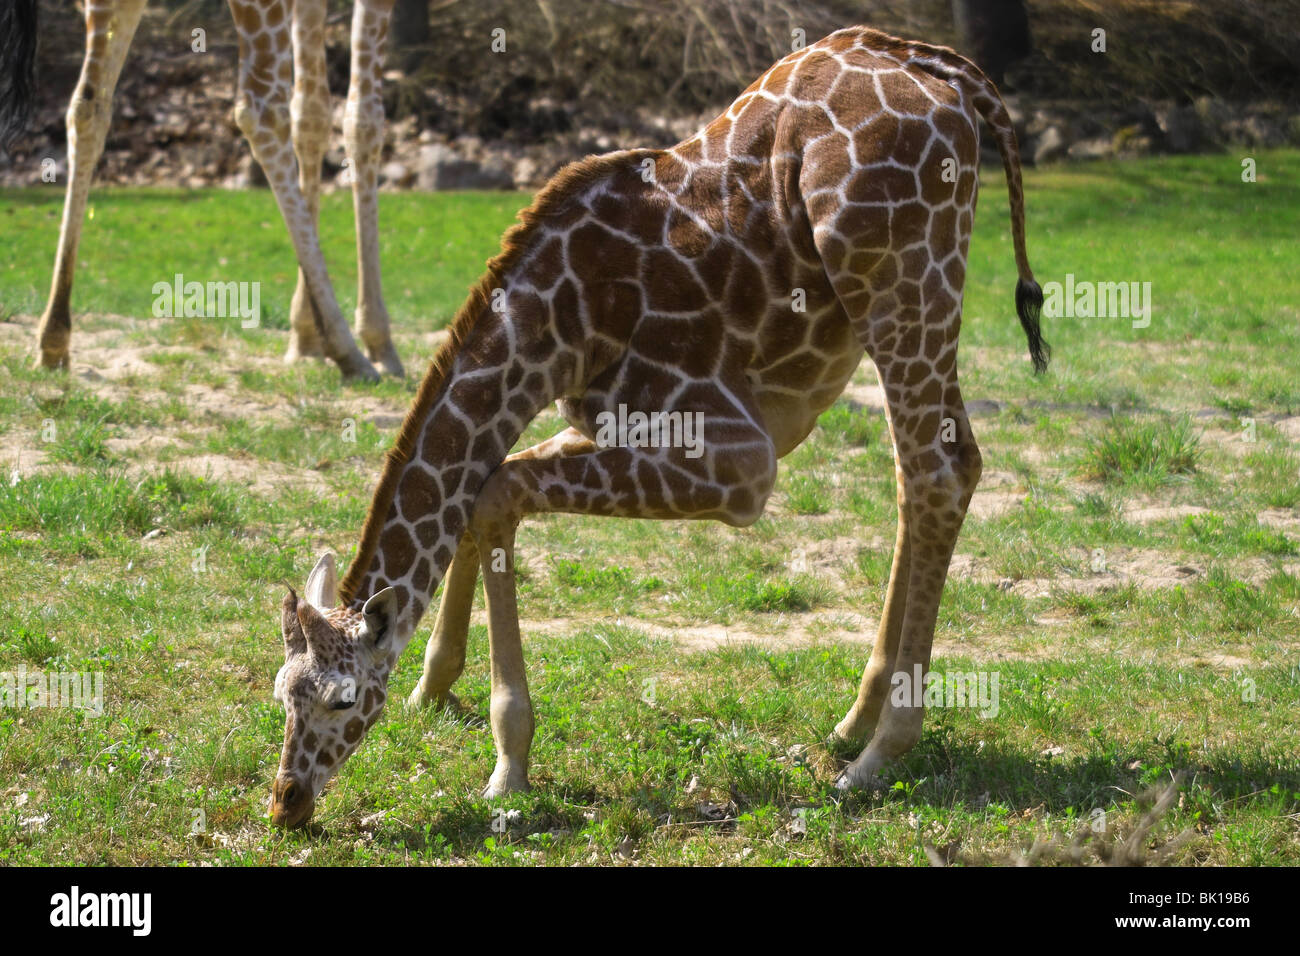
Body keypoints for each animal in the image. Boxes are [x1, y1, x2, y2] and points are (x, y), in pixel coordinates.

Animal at [6, 0, 400, 382]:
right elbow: (363, 119)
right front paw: (378, 343)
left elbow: (312, 114)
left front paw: (304, 338)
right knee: (262, 109)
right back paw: (347, 350)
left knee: (88, 104)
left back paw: (53, 339)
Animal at [266, 24, 1045, 832]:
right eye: (279, 693)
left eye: (342, 700)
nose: (286, 800)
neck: (557, 328)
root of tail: (944, 74)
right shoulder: (607, 419)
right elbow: (484, 484)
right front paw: (433, 689)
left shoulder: (738, 460)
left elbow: (496, 489)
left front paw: (508, 767)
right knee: (931, 474)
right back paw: (852, 722)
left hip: (900, 282)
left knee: (937, 473)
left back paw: (876, 755)